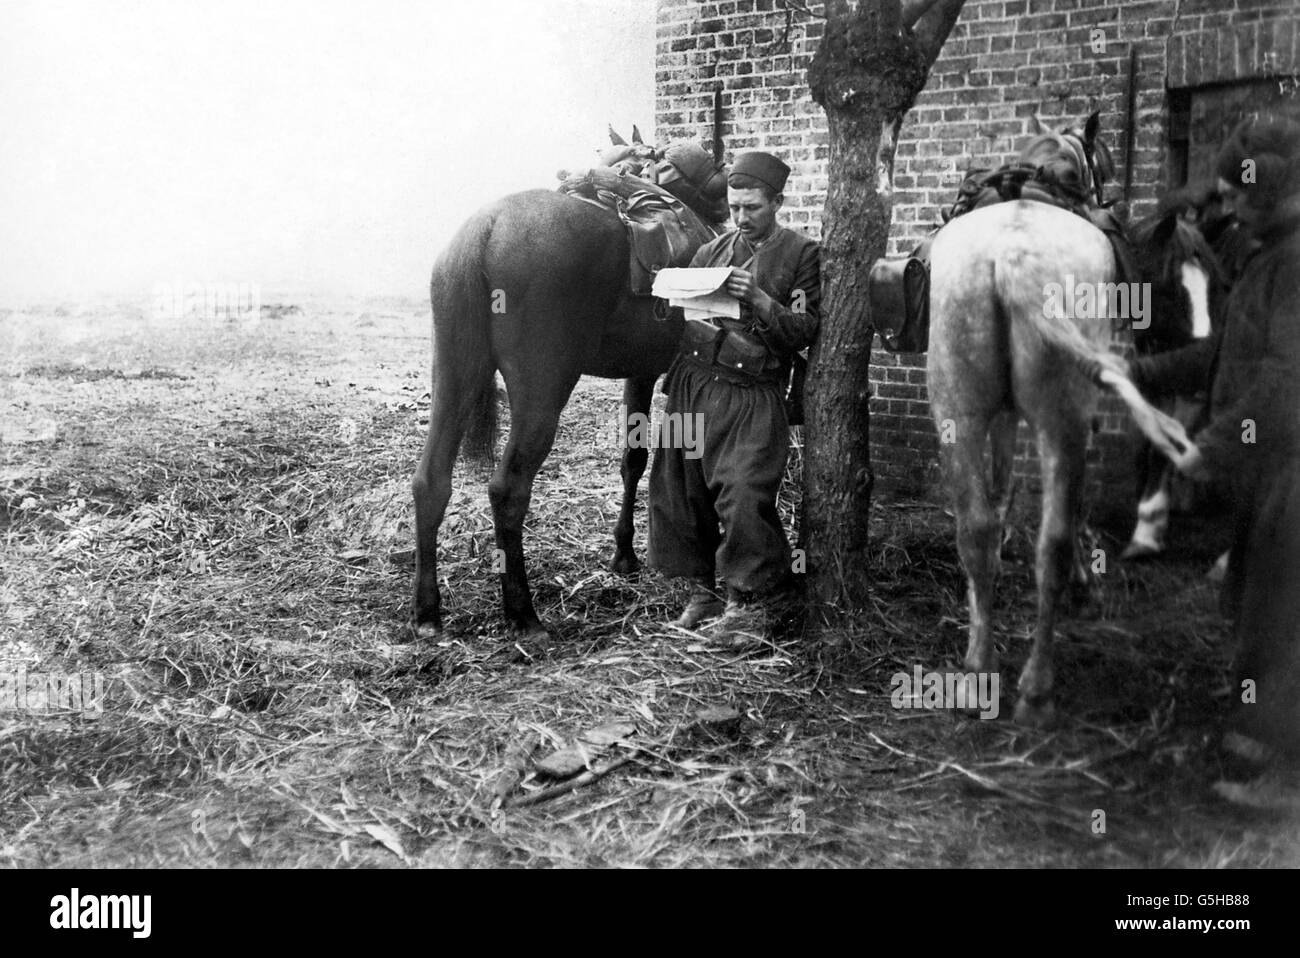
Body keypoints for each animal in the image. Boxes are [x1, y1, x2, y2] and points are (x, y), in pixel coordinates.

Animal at [410, 138, 722, 639]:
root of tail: (486, 226)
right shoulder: (650, 377)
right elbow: (646, 461)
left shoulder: (640, 376)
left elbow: (631, 461)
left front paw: (624, 554)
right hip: (541, 395)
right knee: (507, 489)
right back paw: (522, 612)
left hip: (454, 379)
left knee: (430, 481)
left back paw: (427, 611)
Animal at [925, 113, 1190, 722]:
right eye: (1105, 162)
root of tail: (1013, 258)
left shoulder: (999, 418)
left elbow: (998, 498)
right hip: (1062, 417)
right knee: (1054, 542)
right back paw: (1038, 684)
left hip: (958, 411)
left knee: (973, 529)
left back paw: (977, 668)